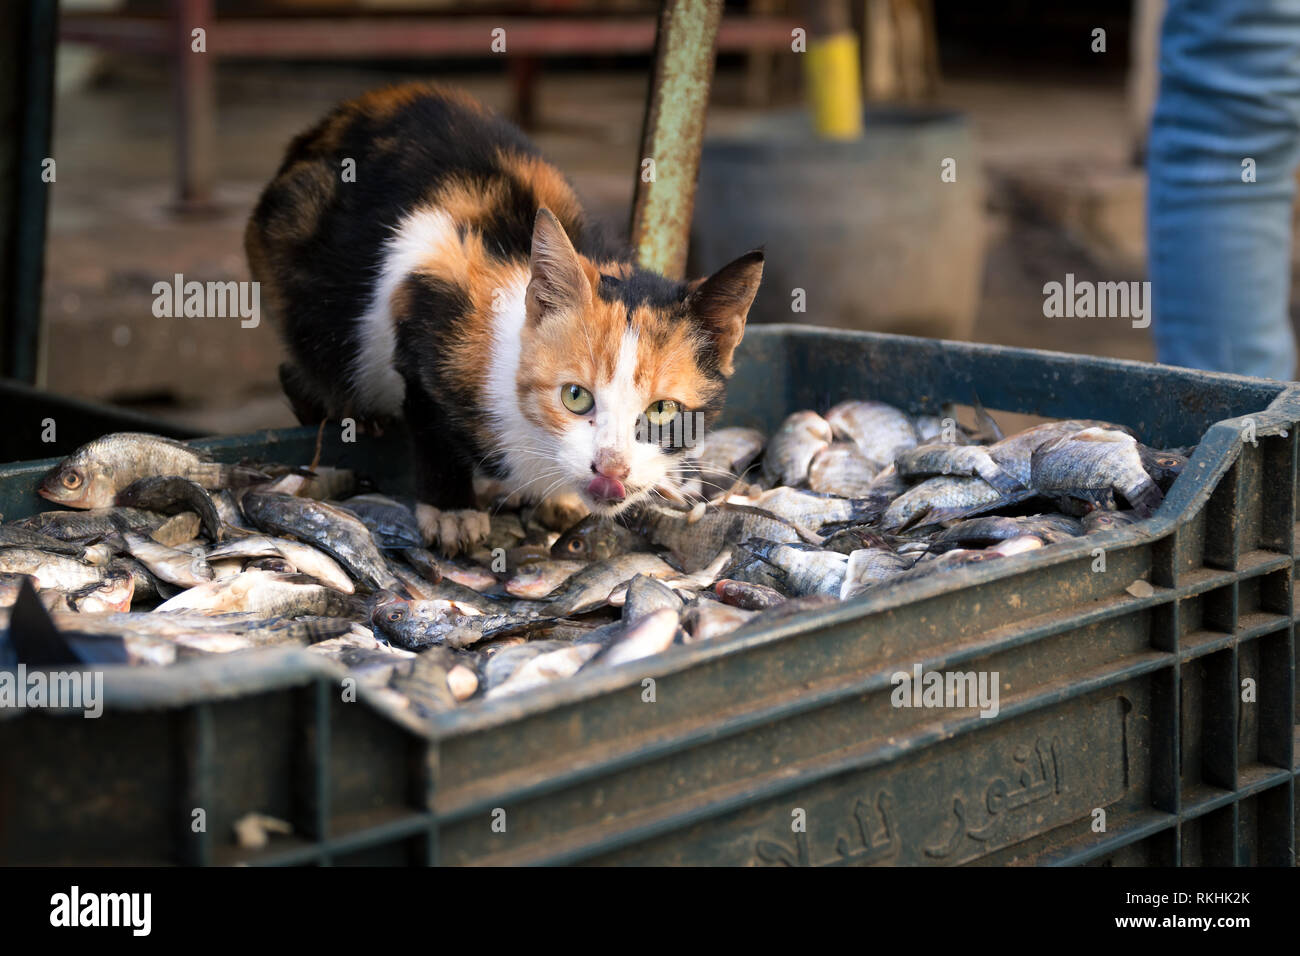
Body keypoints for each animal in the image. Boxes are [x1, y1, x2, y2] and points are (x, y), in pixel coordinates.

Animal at [245, 85, 759, 556]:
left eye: (662, 410)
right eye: (575, 397)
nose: (611, 468)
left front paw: (558, 500)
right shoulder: (426, 286)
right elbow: (430, 417)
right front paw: (451, 511)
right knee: (300, 365)